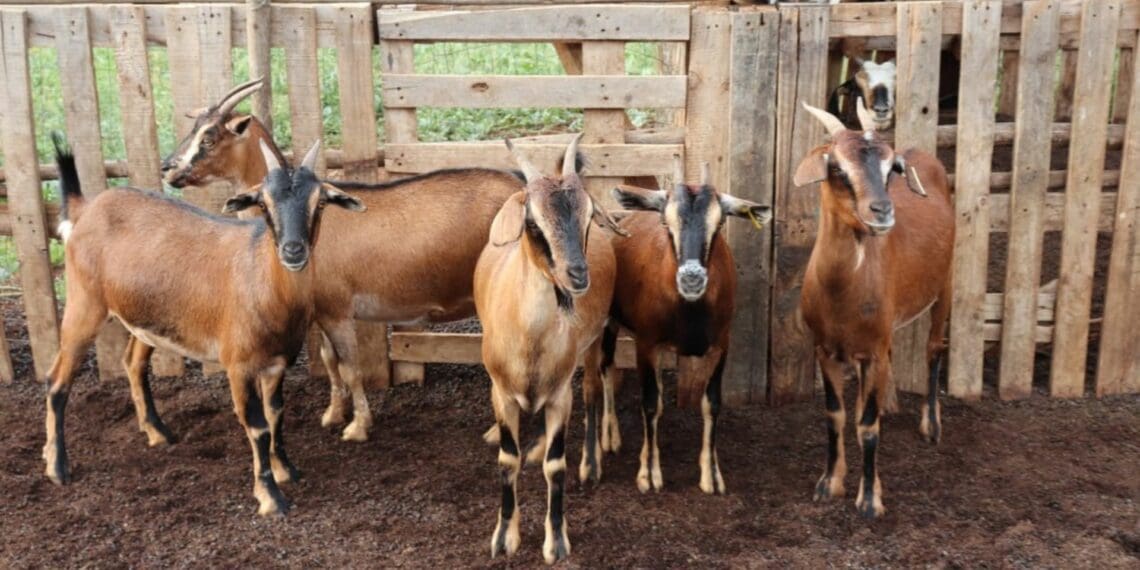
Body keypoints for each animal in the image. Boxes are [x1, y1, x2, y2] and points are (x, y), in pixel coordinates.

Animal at [43, 135, 364, 516]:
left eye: (320, 202)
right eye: (264, 202)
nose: (293, 250)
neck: (262, 281)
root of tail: (86, 209)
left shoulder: (276, 364)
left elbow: (276, 414)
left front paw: (285, 469)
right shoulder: (238, 365)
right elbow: (257, 425)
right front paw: (269, 497)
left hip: (146, 319)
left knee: (132, 363)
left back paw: (158, 433)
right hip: (84, 305)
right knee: (57, 380)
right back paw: (57, 467)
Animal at [156, 80, 529, 443]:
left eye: (209, 137)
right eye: (194, 128)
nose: (167, 169)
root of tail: (523, 187)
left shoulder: (338, 310)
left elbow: (350, 367)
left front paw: (358, 427)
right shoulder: (320, 311)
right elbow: (329, 361)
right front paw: (333, 414)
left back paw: (495, 432)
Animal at [475, 135, 623, 564]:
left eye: (588, 218)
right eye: (533, 222)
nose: (578, 275)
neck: (529, 341)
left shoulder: (560, 394)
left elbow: (557, 466)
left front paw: (555, 541)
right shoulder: (502, 392)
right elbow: (508, 458)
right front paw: (504, 536)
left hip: (595, 342)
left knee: (593, 390)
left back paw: (592, 461)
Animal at [578, 157, 772, 495]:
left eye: (719, 224)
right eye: (666, 223)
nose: (691, 278)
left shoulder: (721, 345)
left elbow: (711, 403)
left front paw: (711, 475)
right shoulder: (645, 343)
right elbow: (649, 403)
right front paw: (648, 473)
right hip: (608, 323)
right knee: (605, 368)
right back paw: (609, 437)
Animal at [793, 101, 953, 518]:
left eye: (890, 168)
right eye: (836, 167)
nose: (881, 211)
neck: (841, 295)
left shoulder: (872, 353)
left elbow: (867, 426)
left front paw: (868, 499)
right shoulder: (826, 350)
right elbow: (835, 415)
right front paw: (829, 482)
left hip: (945, 284)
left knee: (933, 348)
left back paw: (932, 427)